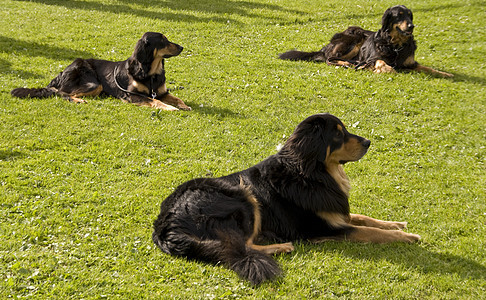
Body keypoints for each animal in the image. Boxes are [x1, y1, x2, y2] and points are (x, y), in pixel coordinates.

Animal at [11, 31, 190, 110]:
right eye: (163, 40)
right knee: (61, 93)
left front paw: (184, 105)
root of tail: (59, 75)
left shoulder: (161, 91)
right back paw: (78, 100)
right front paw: (170, 108)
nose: (182, 47)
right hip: (94, 83)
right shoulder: (130, 95)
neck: (150, 72)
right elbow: (155, 101)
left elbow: (176, 98)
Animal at [153, 113, 422, 284]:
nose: (368, 142)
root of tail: (164, 225)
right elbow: (370, 231)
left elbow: (364, 218)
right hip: (244, 195)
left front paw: (396, 224)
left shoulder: (335, 212)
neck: (313, 173)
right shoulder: (322, 228)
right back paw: (282, 246)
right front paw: (406, 236)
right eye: (338, 135)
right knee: (242, 247)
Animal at [280, 5, 454, 78]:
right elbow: (382, 63)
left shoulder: (410, 63)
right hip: (355, 38)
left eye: (410, 16)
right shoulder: (371, 58)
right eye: (399, 15)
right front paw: (387, 69)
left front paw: (446, 74)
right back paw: (347, 64)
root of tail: (327, 45)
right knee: (330, 59)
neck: (395, 45)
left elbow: (428, 68)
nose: (411, 26)